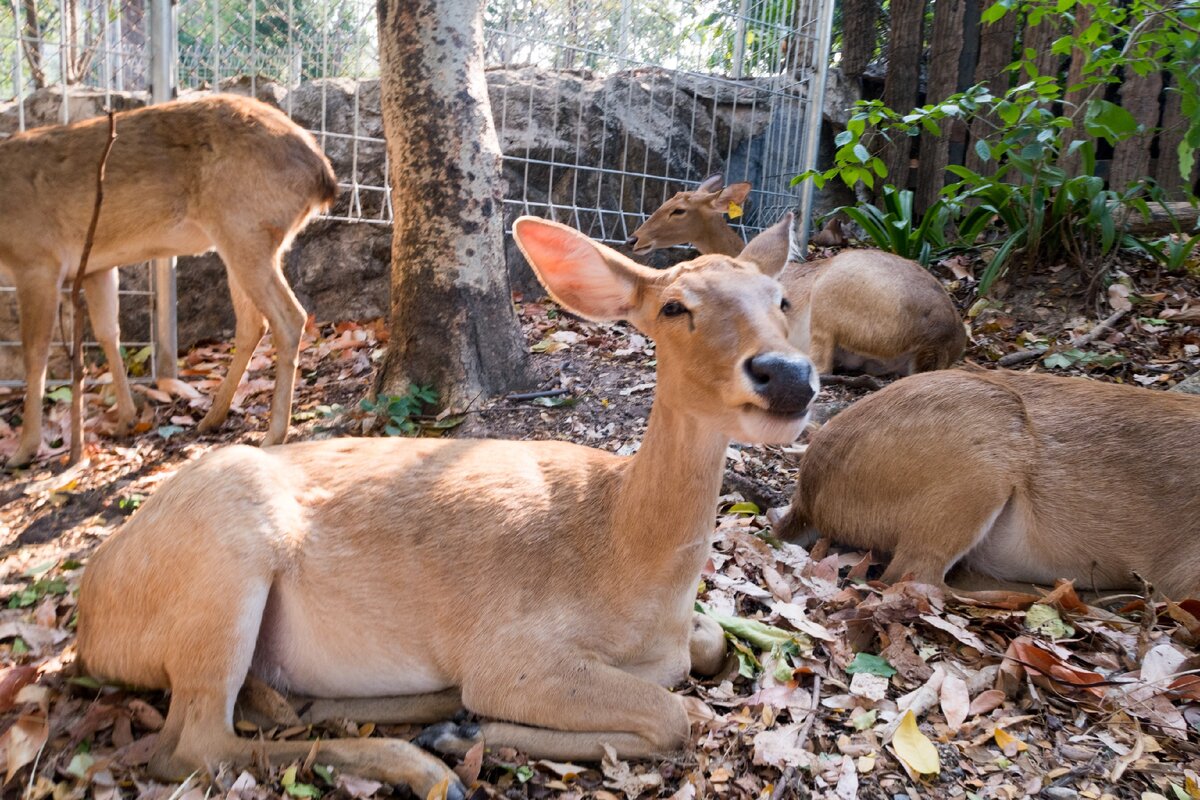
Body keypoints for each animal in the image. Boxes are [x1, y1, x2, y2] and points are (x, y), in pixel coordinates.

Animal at [0, 94, 338, 470]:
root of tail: (323, 175)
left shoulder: (37, 260)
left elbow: (35, 355)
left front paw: (22, 451)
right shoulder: (95, 266)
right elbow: (108, 332)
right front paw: (126, 419)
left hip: (246, 228)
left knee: (289, 318)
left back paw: (273, 435)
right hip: (244, 239)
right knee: (254, 323)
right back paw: (212, 418)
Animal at [75, 215, 820, 796]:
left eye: (781, 298)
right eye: (673, 307)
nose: (787, 373)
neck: (630, 568)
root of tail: (90, 621)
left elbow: (711, 643)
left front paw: (458, 725)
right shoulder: (513, 648)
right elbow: (674, 717)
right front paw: (465, 728)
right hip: (223, 563)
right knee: (190, 745)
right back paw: (424, 765)